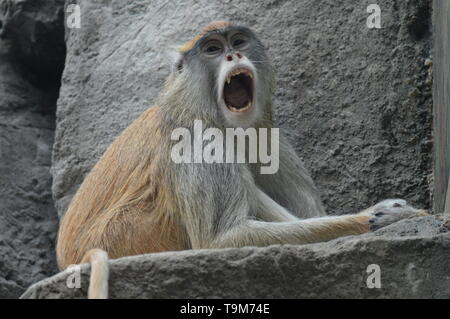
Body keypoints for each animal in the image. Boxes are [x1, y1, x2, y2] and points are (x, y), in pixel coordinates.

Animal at [57, 22, 428, 300]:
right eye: (212, 49)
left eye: (238, 41)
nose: (233, 54)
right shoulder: (198, 141)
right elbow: (221, 240)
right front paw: (387, 216)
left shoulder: (271, 138)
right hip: (131, 233)